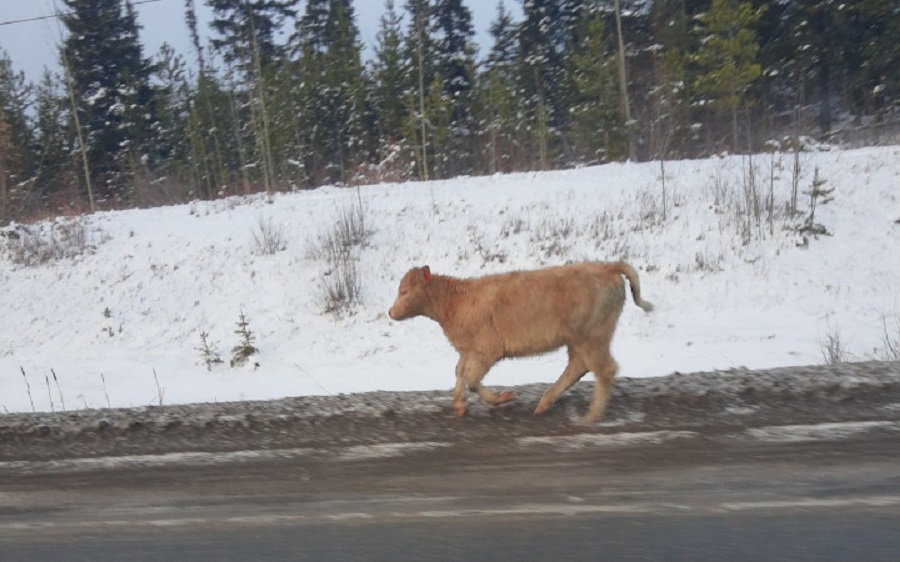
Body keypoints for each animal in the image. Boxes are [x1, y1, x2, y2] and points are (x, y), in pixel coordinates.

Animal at [388, 260, 652, 422]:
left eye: (404, 291)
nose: (390, 312)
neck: (455, 303)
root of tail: (606, 265)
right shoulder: (467, 350)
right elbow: (460, 373)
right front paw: (460, 405)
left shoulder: (486, 349)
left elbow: (471, 379)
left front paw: (502, 398)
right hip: (579, 339)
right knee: (579, 367)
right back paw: (545, 403)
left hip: (591, 335)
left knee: (604, 369)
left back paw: (592, 416)